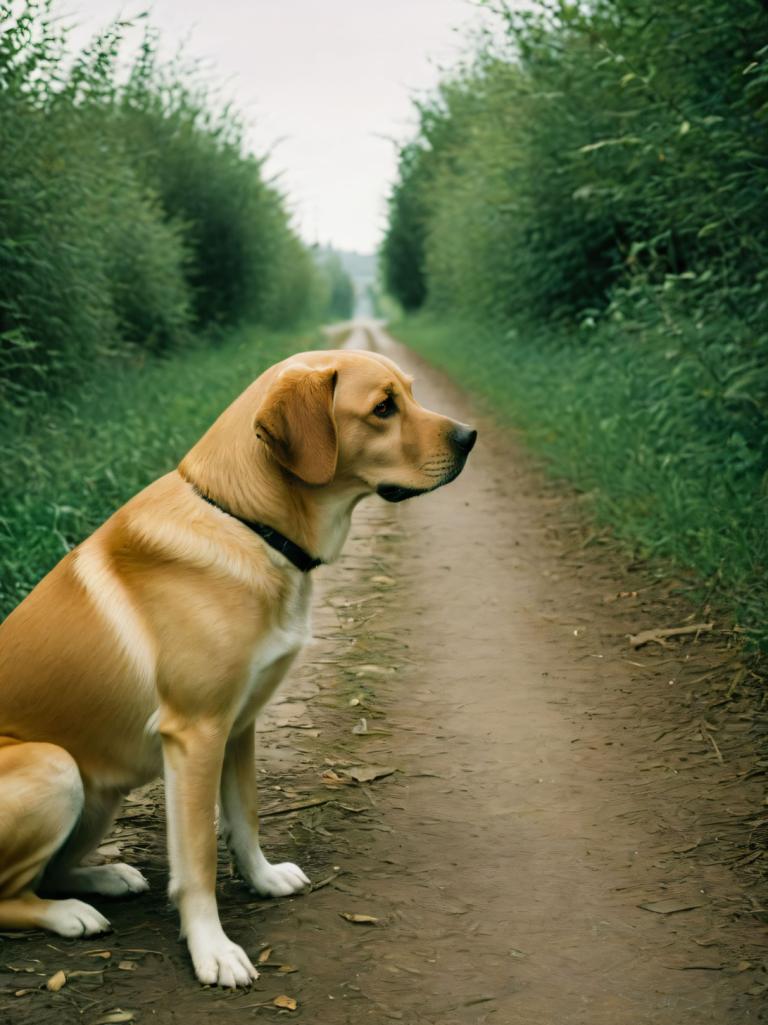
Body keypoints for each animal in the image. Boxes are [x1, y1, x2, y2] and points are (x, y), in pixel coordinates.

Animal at [0, 350, 475, 984]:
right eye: (383, 407)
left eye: (412, 393)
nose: (471, 437)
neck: (247, 521)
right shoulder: (196, 734)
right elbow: (198, 856)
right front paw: (213, 949)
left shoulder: (241, 724)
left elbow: (245, 817)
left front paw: (264, 879)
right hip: (53, 766)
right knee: (9, 896)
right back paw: (70, 914)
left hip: (99, 793)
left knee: (50, 872)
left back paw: (105, 877)